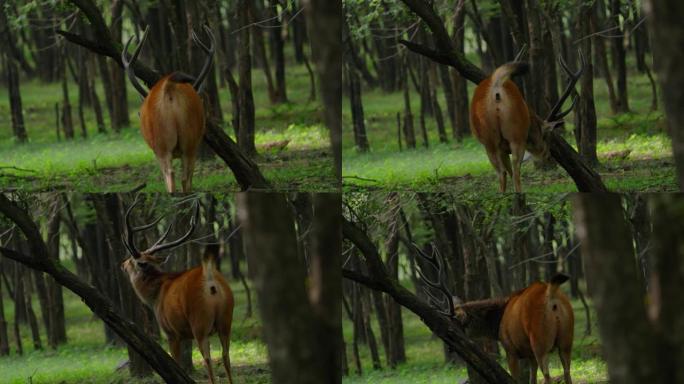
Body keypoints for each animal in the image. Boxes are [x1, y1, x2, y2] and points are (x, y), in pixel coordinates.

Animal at [119, 198, 234, 384]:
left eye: (131, 260)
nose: (122, 264)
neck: (155, 296)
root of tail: (210, 279)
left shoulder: (171, 333)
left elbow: (177, 362)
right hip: (226, 319)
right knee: (226, 356)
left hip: (199, 322)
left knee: (208, 359)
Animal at [470, 51, 588, 192]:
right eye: (546, 136)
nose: (547, 155)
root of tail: (496, 89)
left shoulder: (502, 149)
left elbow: (507, 172)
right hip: (516, 135)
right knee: (515, 171)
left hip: (489, 140)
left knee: (502, 173)